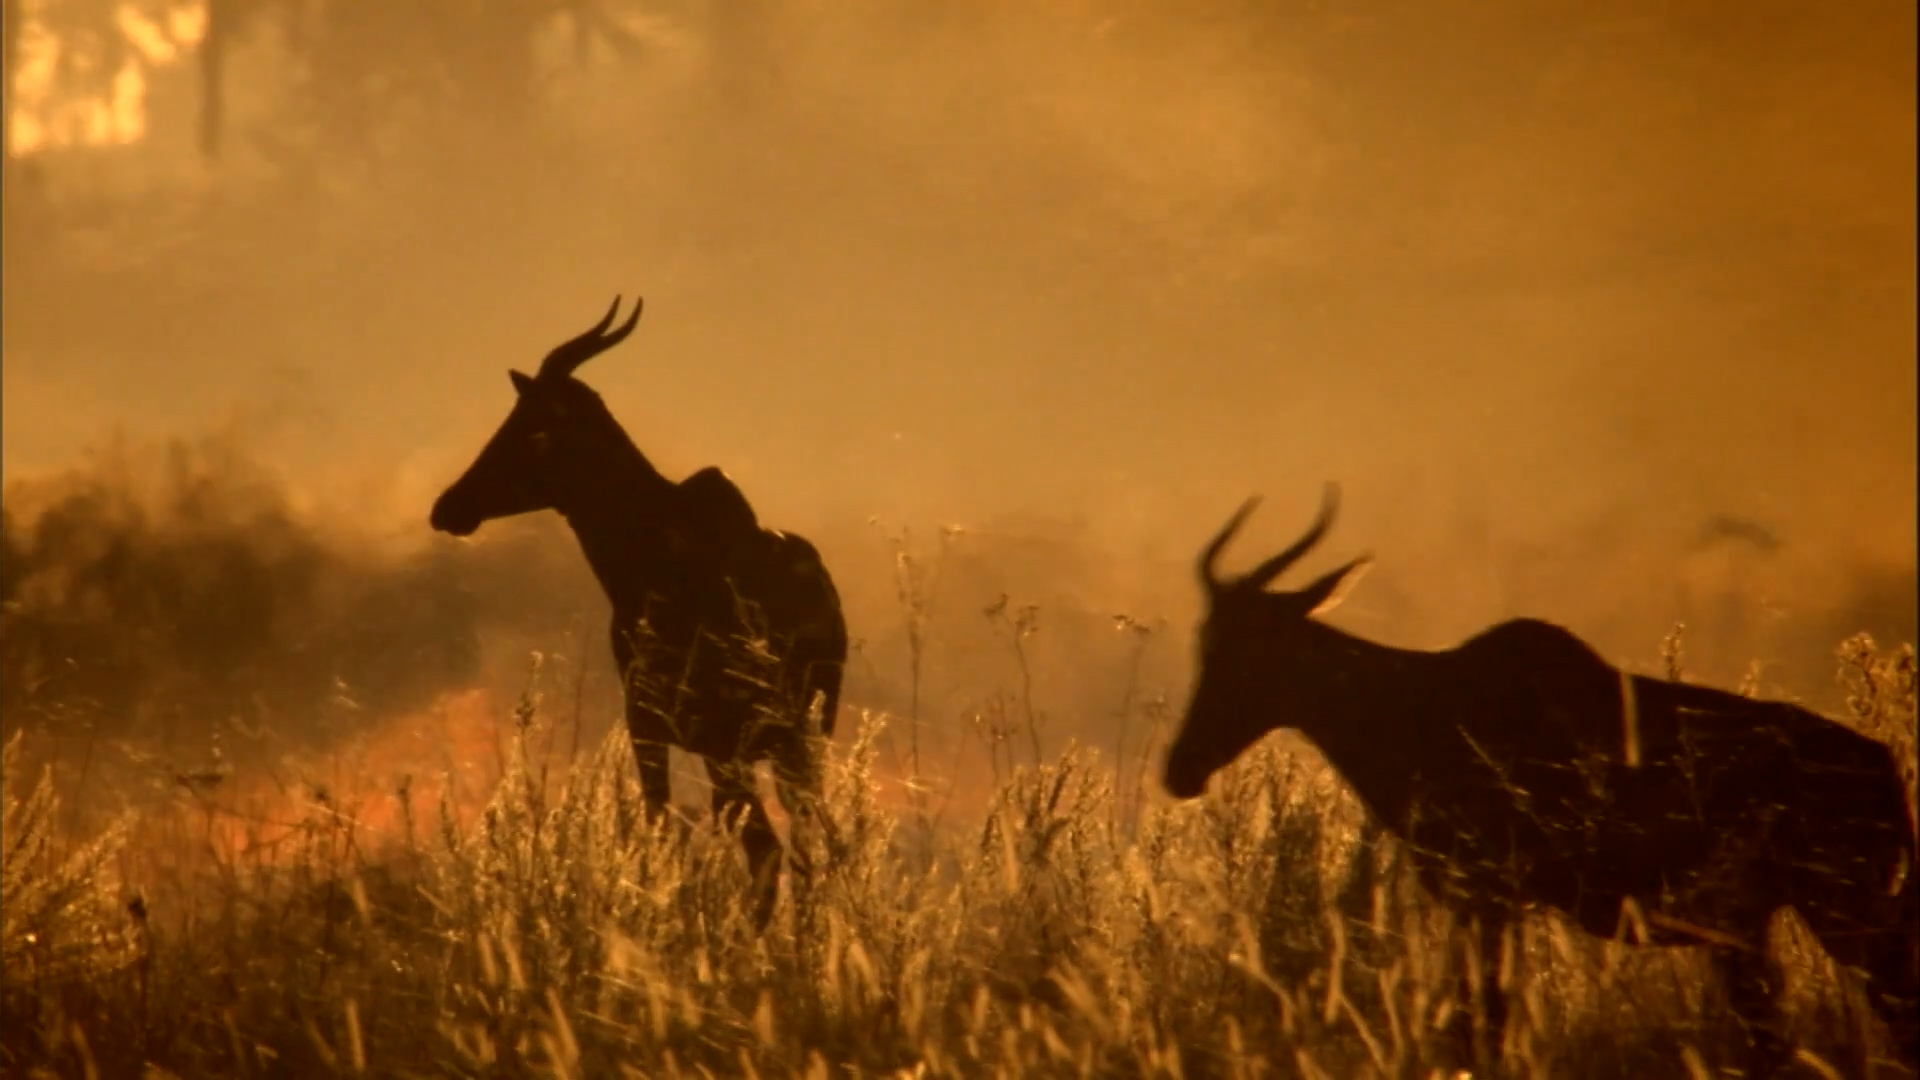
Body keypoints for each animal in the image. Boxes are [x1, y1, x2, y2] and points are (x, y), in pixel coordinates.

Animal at [435, 294, 856, 926]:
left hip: (746, 745)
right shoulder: (676, 735)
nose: (448, 507)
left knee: (769, 845)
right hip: (792, 742)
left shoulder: (663, 731)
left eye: (534, 425)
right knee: (801, 842)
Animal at [1159, 484, 1912, 1068]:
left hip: (1842, 917)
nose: (1179, 769)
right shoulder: (1484, 905)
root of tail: (1884, 769)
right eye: (1205, 641)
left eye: (1255, 647)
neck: (1429, 699)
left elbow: (1485, 1027)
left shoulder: (1489, 899)